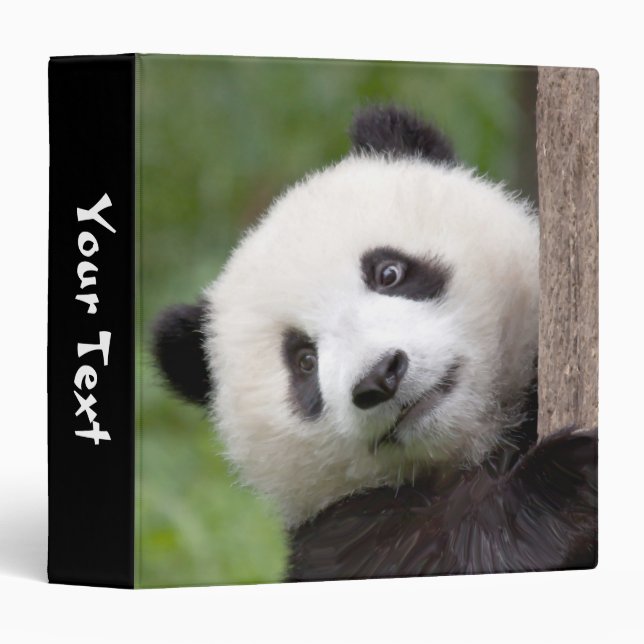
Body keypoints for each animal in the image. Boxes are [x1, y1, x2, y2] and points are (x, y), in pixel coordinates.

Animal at [153, 105, 597, 581]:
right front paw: (567, 483)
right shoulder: (344, 532)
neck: (473, 444)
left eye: (388, 272)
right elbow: (439, 547)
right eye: (304, 361)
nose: (380, 377)